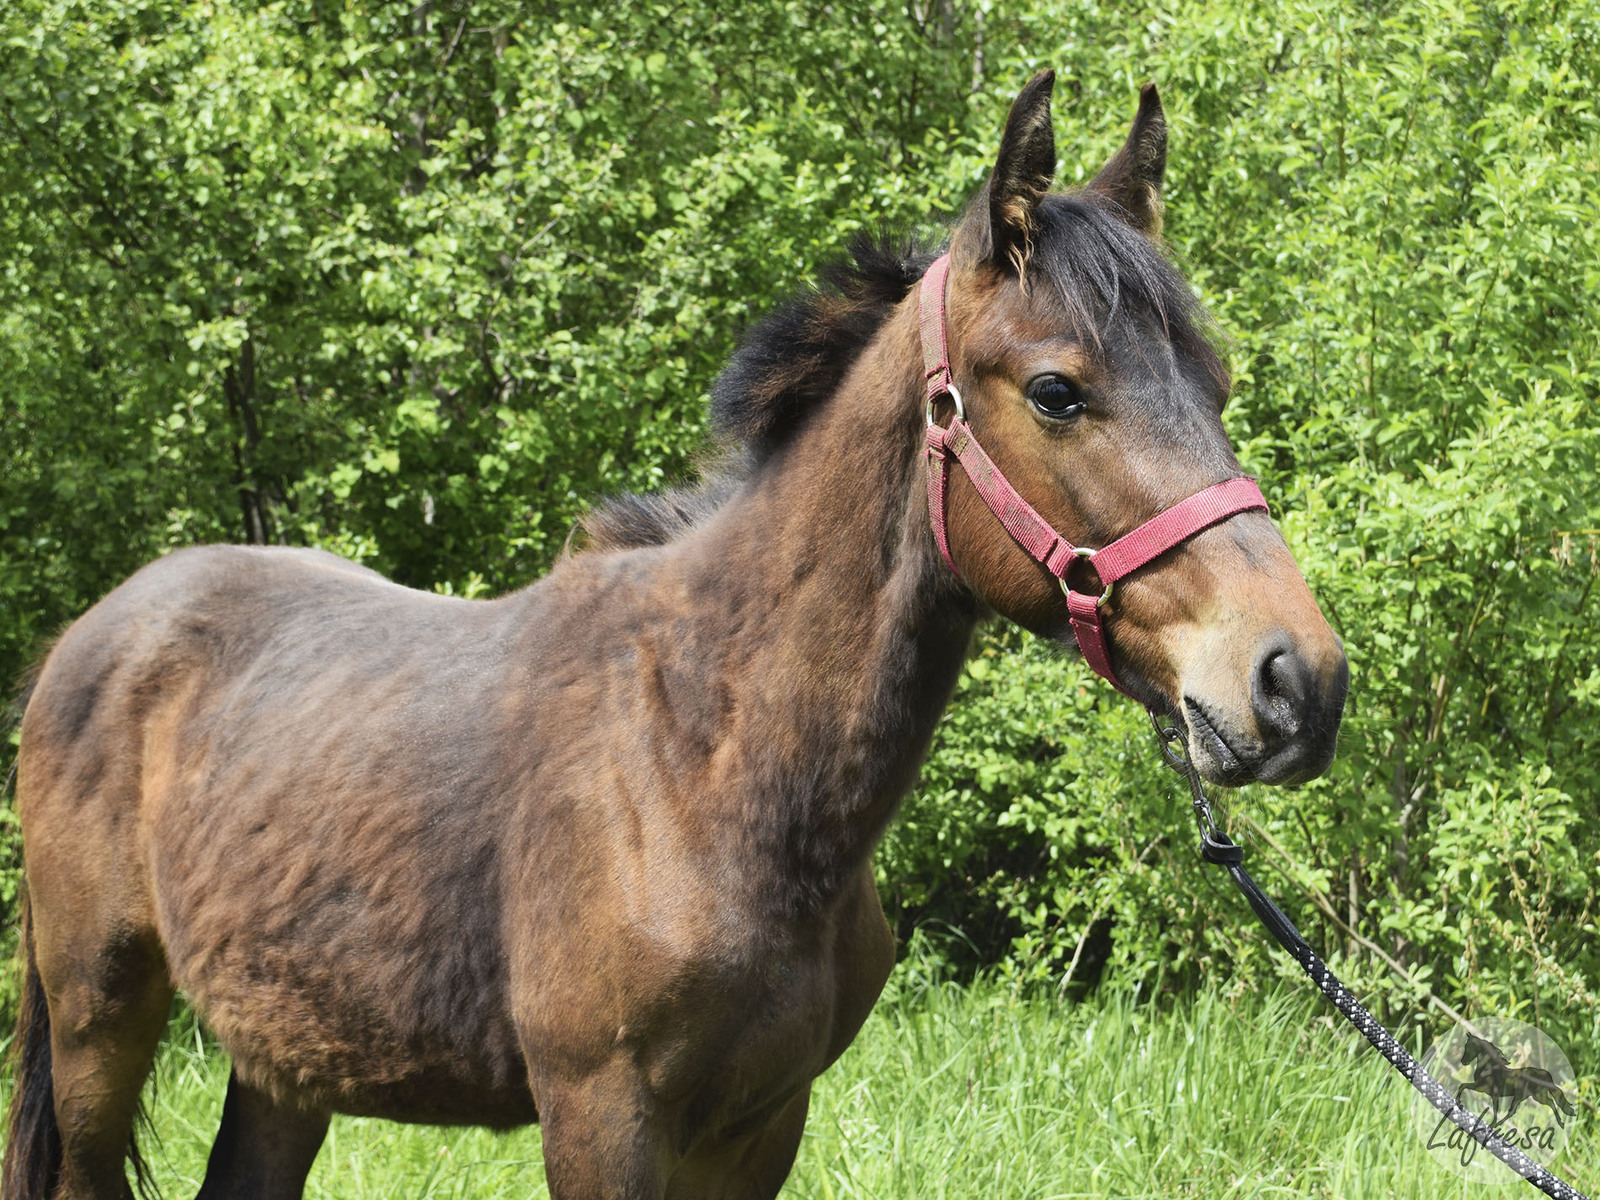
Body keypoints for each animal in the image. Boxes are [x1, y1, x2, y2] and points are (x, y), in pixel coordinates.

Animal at [3, 75, 1350, 1200]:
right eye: (1059, 391)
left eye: (1217, 386)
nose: (1296, 682)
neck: (703, 752)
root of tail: (95, 635)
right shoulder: (604, 1118)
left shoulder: (759, 1123)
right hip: (98, 1021)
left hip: (284, 1053)